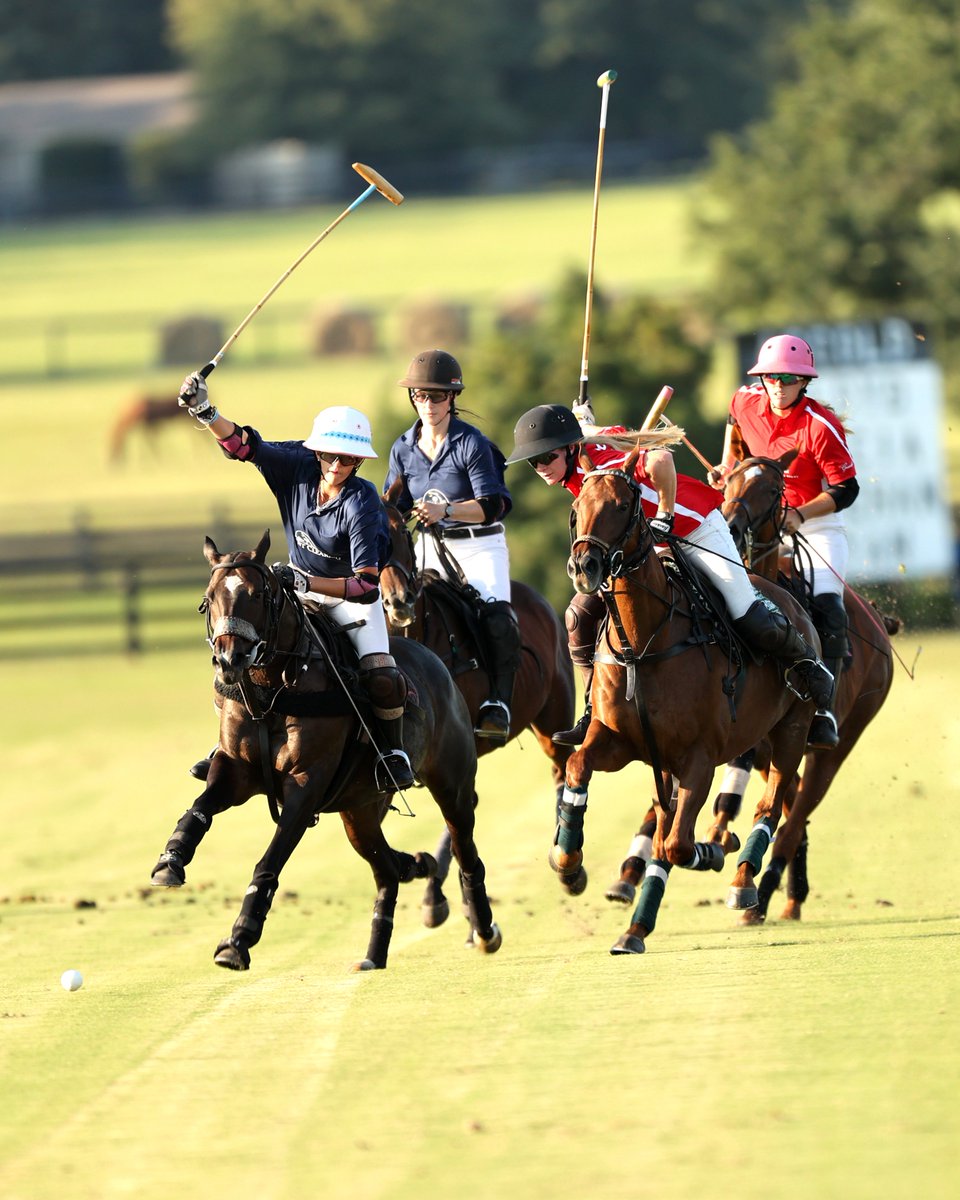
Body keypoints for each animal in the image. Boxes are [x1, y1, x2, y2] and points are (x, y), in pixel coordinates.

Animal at [150, 535, 501, 974]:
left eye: (257, 594)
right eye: (210, 597)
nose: (229, 660)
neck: (273, 690)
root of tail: (437, 663)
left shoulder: (306, 785)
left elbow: (271, 859)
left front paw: (238, 939)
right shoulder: (235, 771)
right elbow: (200, 807)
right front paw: (171, 860)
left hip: (450, 784)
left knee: (466, 851)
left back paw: (483, 929)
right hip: (359, 809)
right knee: (386, 869)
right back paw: (380, 938)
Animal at [376, 482, 573, 921]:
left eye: (402, 535)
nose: (398, 602)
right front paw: (438, 895)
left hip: (554, 718)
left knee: (562, 770)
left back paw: (568, 865)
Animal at [561, 448, 825, 955]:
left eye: (622, 506)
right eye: (577, 506)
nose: (585, 567)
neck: (644, 642)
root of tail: (790, 599)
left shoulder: (699, 756)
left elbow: (679, 845)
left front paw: (716, 850)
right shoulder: (623, 743)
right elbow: (578, 765)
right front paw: (568, 861)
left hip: (790, 731)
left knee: (771, 805)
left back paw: (742, 882)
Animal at [705, 453, 902, 921]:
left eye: (774, 489)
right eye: (729, 479)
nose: (731, 524)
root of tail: (877, 622)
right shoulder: (757, 744)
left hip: (838, 745)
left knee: (795, 821)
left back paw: (765, 897)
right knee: (794, 815)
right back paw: (789, 892)